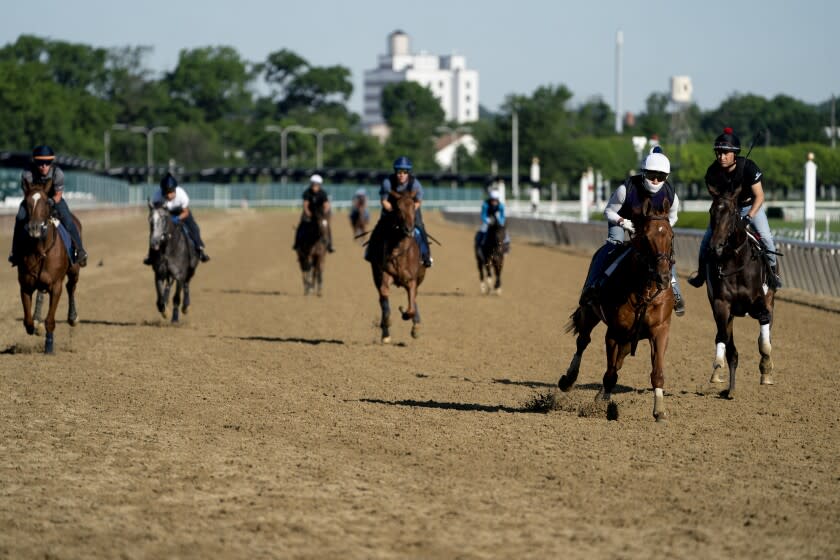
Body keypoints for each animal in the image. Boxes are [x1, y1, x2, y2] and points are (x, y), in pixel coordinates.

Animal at [17, 179, 81, 354]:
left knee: (71, 287)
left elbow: (50, 320)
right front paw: (34, 325)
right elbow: (27, 320)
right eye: (26, 202)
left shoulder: (55, 284)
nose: (34, 228)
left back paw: (73, 317)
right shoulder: (25, 285)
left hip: (74, 269)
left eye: (46, 202)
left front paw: (49, 347)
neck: (40, 250)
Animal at [370, 190, 426, 344]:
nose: (408, 229)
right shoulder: (385, 273)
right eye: (398, 208)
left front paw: (405, 313)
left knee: (414, 300)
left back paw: (416, 326)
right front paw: (386, 324)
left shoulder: (411, 280)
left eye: (413, 206)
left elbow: (411, 307)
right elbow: (384, 296)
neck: (399, 251)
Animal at [556, 199, 676, 422]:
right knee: (583, 342)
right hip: (590, 312)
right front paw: (603, 406)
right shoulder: (614, 331)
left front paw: (660, 411)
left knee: (618, 360)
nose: (663, 277)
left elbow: (657, 372)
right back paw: (568, 380)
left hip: (629, 338)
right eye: (645, 237)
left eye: (671, 236)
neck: (643, 290)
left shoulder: (659, 329)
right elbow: (610, 373)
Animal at [704, 186, 776, 396]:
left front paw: (766, 369)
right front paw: (727, 382)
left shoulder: (760, 302)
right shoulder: (721, 306)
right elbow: (726, 342)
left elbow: (764, 341)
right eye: (711, 211)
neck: (735, 261)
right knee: (725, 340)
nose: (715, 246)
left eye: (731, 212)